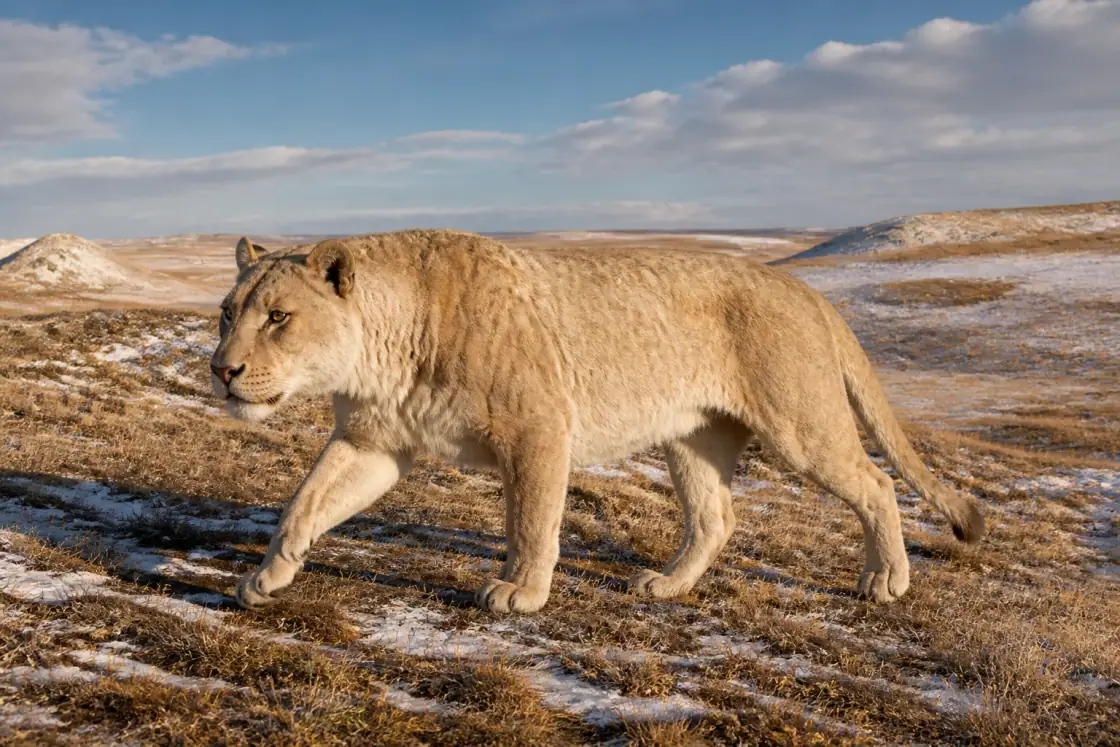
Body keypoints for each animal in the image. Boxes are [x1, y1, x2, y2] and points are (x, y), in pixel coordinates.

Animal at [211, 230, 985, 614]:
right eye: (227, 313)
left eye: (278, 317)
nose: (223, 369)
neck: (382, 352)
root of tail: (801, 285)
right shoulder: (374, 441)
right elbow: (306, 501)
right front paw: (267, 576)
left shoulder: (537, 427)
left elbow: (531, 520)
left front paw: (520, 593)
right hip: (693, 436)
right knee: (716, 517)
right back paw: (666, 587)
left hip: (801, 423)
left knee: (875, 485)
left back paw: (886, 581)